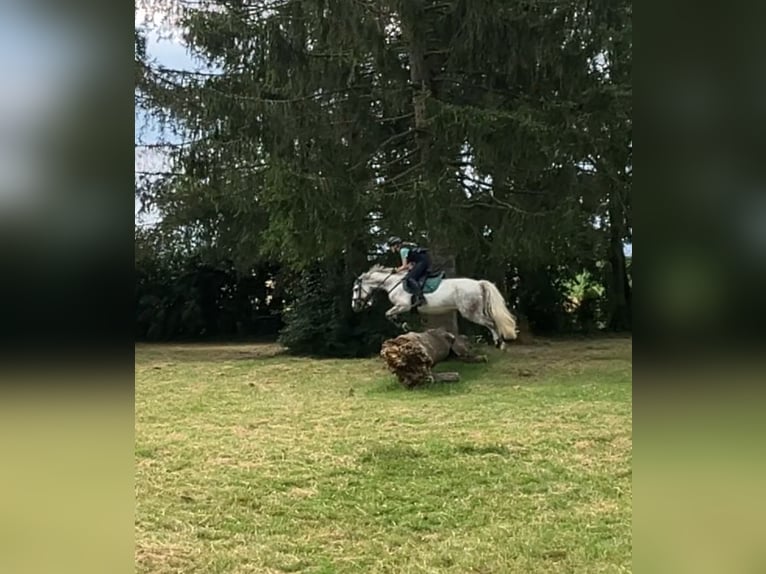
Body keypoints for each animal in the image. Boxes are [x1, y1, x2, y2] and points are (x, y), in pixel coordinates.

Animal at [351, 264, 518, 349]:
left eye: (355, 289)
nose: (355, 307)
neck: (393, 283)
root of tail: (478, 283)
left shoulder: (403, 305)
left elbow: (388, 314)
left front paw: (403, 325)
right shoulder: (401, 307)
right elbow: (391, 315)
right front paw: (404, 325)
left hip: (470, 312)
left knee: (491, 323)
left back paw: (500, 343)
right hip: (476, 310)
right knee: (491, 322)